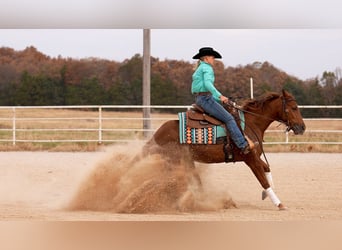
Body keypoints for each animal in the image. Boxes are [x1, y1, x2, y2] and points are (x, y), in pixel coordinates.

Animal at [142, 89, 304, 210]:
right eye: (294, 108)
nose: (302, 127)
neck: (250, 124)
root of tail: (156, 135)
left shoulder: (256, 157)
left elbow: (267, 169)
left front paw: (266, 193)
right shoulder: (251, 159)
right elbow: (263, 180)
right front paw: (279, 204)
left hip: (185, 160)